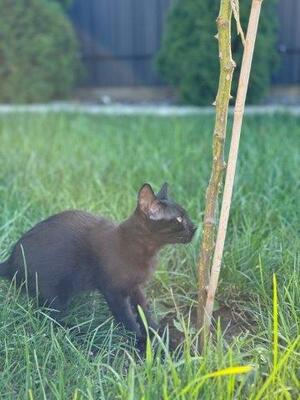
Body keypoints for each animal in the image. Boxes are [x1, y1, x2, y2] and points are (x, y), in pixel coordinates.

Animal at [0, 183, 196, 342]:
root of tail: (10, 260)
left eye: (185, 215)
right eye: (179, 219)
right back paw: (77, 332)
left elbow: (144, 309)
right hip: (55, 291)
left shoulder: (134, 287)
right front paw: (140, 342)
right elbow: (126, 318)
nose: (195, 227)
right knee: (49, 318)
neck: (146, 251)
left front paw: (156, 332)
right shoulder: (113, 291)